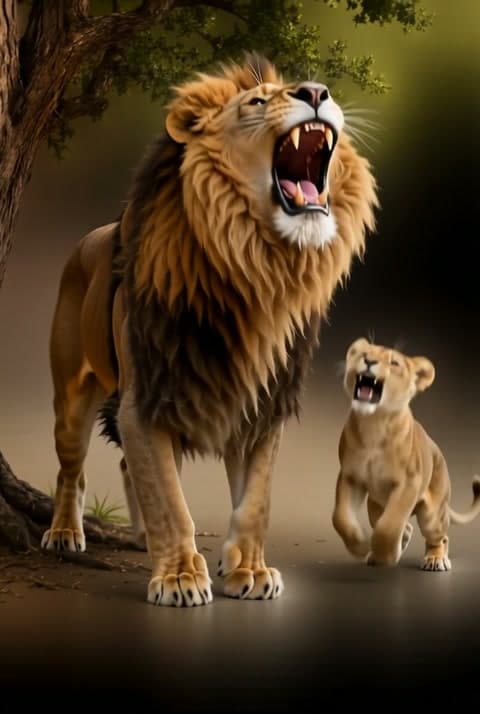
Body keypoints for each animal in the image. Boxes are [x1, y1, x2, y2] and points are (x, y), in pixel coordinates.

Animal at [42, 54, 378, 607]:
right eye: (257, 102)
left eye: (312, 88)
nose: (315, 92)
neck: (259, 269)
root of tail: (86, 239)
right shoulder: (147, 398)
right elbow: (171, 501)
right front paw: (179, 577)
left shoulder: (263, 404)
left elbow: (254, 500)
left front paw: (249, 570)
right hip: (72, 398)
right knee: (73, 469)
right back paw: (66, 532)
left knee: (128, 468)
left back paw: (142, 536)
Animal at [332, 337, 480, 571]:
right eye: (363, 353)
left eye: (394, 363)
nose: (369, 360)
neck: (373, 423)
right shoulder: (350, 477)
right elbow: (340, 518)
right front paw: (361, 546)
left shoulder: (408, 484)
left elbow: (390, 524)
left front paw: (384, 555)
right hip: (375, 505)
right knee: (403, 526)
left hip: (432, 514)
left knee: (439, 536)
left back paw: (435, 559)